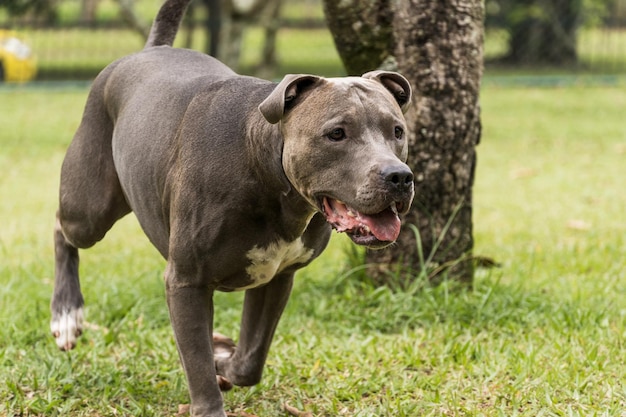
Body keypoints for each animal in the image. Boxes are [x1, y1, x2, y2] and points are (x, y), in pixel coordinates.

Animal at [50, 1, 414, 414]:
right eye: (336, 133)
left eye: (397, 131)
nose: (399, 176)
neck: (263, 167)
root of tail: (148, 50)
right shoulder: (186, 281)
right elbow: (198, 364)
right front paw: (210, 391)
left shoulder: (276, 278)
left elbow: (250, 359)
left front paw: (224, 358)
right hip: (89, 207)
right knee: (62, 229)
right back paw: (66, 314)